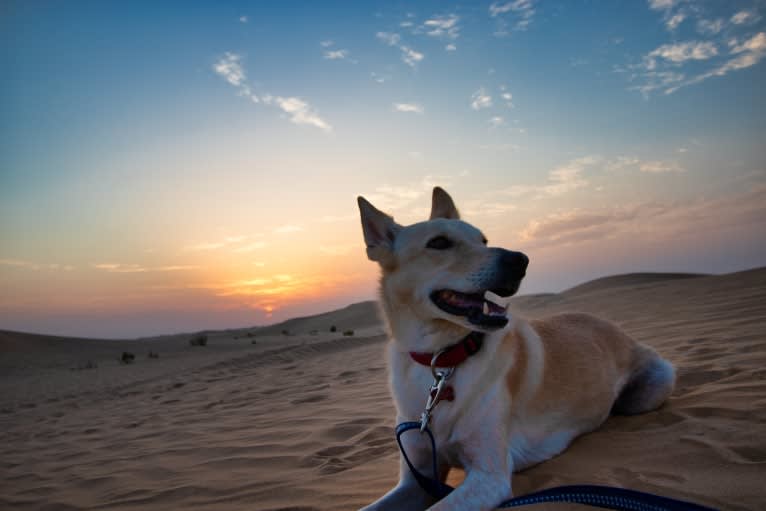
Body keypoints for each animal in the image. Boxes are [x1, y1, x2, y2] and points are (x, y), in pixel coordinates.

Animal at [356, 188, 676, 511]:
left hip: (647, 392)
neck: (442, 359)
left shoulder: (489, 476)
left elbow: (438, 508)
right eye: (439, 243)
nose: (520, 260)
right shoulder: (416, 479)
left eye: (483, 239)